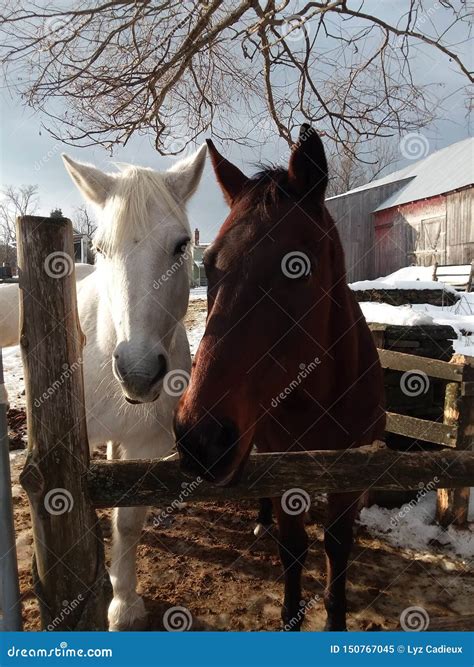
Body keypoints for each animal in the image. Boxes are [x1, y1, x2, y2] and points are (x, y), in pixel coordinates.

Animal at [0, 146, 207, 632]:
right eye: (100, 248)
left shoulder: (147, 445)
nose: (138, 371)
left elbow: (128, 522)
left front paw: (123, 603)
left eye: (181, 245)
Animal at [174, 125, 386, 632]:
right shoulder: (282, 463)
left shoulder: (351, 473)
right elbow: (293, 548)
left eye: (298, 266)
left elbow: (336, 545)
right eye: (209, 265)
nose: (200, 437)